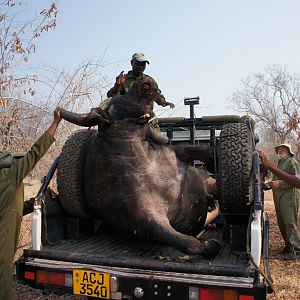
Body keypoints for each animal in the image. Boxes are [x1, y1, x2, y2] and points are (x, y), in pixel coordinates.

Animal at [59, 77, 220, 258]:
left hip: (209, 183)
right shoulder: (144, 217)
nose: (146, 81)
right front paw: (210, 246)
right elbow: (187, 243)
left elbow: (202, 150)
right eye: (119, 100)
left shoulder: (175, 152)